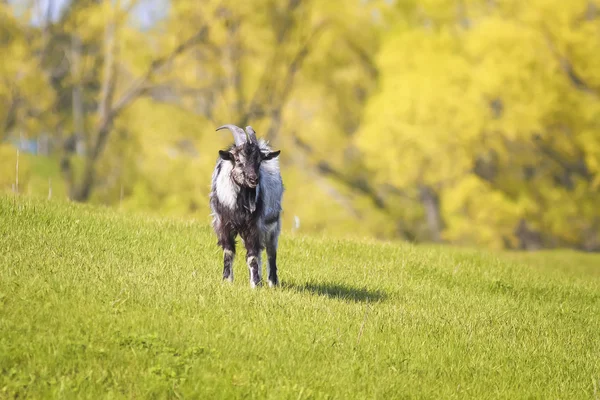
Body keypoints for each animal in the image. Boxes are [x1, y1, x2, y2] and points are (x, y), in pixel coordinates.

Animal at [210, 123, 284, 286]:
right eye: (238, 160)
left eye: (259, 161)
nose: (253, 179)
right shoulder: (223, 224)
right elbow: (228, 252)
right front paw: (227, 281)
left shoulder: (254, 226)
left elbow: (252, 256)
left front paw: (255, 284)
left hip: (273, 225)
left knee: (270, 252)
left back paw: (272, 282)